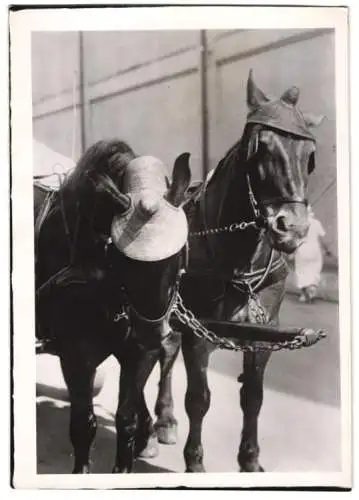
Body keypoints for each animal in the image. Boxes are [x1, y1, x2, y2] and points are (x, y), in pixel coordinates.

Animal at [34, 140, 191, 472]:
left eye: (178, 257)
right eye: (124, 262)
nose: (152, 335)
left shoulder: (139, 355)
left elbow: (126, 420)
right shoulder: (76, 355)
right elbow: (84, 425)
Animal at [150, 71, 326, 472]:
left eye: (309, 157)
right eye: (259, 148)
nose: (292, 229)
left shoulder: (264, 333)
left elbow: (254, 397)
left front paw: (250, 460)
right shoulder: (197, 332)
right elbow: (199, 398)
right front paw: (195, 462)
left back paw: (164, 419)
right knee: (161, 352)